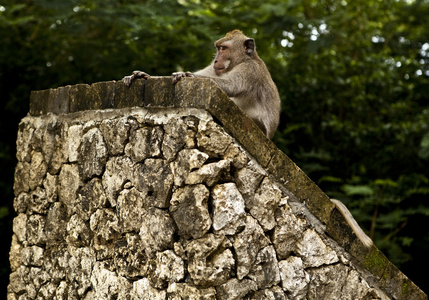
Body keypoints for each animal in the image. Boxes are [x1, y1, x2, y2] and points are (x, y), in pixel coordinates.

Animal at [122, 29, 280, 139]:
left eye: (223, 48)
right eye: (218, 48)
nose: (216, 60)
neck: (244, 60)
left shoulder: (250, 70)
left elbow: (231, 86)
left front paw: (186, 75)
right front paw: (143, 75)